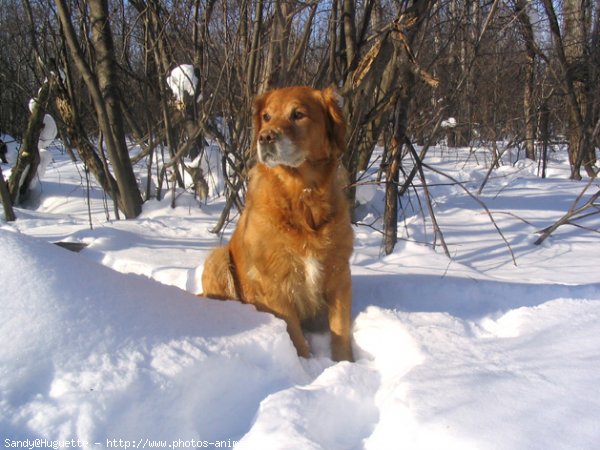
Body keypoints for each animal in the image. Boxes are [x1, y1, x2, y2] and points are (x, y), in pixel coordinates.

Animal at [202, 86, 354, 362]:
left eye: (298, 114)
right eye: (267, 116)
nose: (265, 137)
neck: (302, 196)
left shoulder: (339, 275)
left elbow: (340, 330)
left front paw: (344, 365)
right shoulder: (274, 284)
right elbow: (296, 339)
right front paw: (306, 368)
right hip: (218, 258)